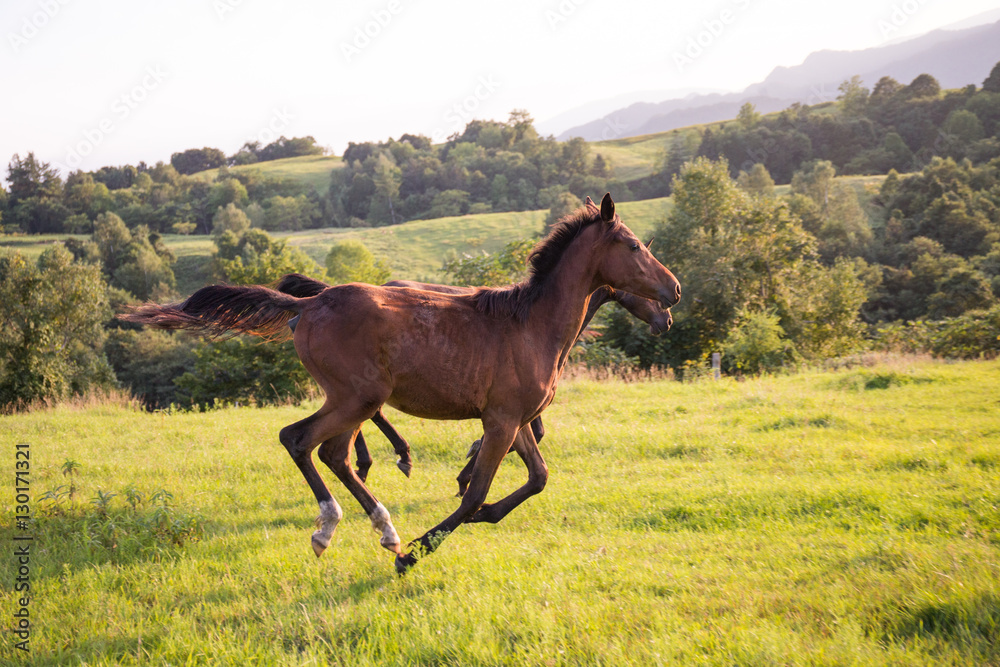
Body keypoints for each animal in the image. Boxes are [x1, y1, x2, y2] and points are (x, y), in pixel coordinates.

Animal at [274, 267, 673, 495]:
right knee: (363, 413)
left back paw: (372, 462)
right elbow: (525, 435)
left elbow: (530, 436)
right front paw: (467, 474)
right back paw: (390, 458)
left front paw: (469, 466)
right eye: (643, 288)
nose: (666, 320)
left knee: (361, 414)